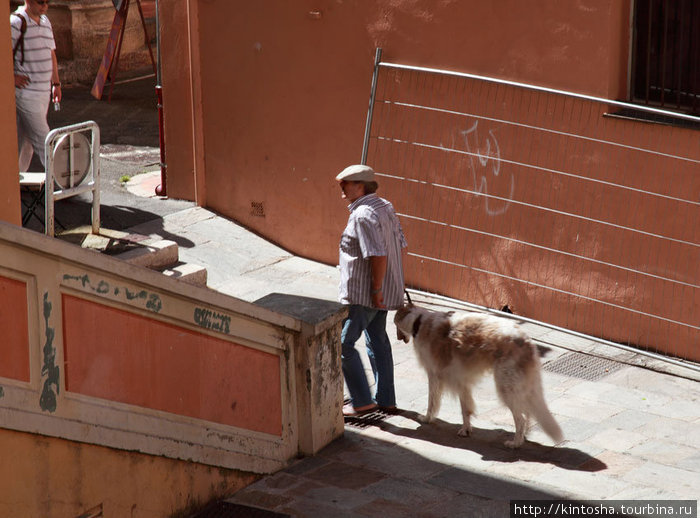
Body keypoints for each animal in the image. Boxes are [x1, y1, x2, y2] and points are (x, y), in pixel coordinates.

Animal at [394, 306, 564, 448]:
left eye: (395, 325)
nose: (397, 338)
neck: (419, 322)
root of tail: (527, 341)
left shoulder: (434, 376)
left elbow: (432, 404)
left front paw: (426, 419)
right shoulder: (461, 380)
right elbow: (465, 409)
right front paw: (465, 430)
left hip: (506, 387)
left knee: (520, 418)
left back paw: (515, 443)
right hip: (522, 387)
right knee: (527, 413)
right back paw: (523, 437)